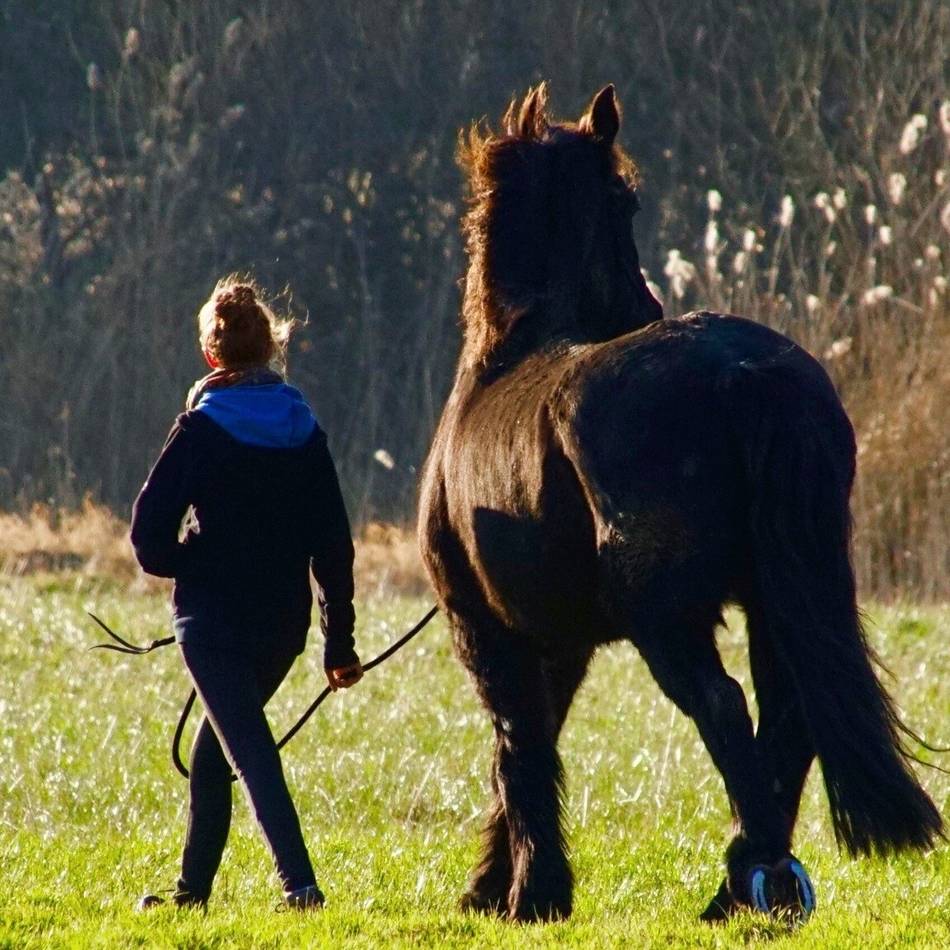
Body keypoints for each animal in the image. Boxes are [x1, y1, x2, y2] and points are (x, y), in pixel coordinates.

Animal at [417, 83, 943, 923]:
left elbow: (517, 749)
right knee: (788, 716)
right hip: (778, 596)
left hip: (665, 619)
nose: (645, 306)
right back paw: (747, 881)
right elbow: (539, 744)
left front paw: (525, 893)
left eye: (625, 198)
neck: (504, 358)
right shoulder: (562, 640)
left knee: (725, 708)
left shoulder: (487, 629)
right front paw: (505, 883)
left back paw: (758, 874)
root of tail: (747, 371)